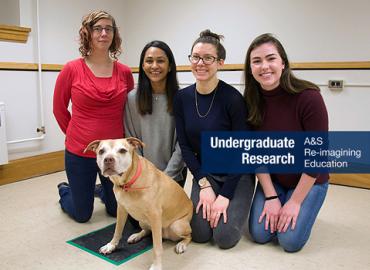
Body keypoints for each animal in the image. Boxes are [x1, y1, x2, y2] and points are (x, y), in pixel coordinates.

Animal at [85, 137, 192, 270]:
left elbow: (157, 248)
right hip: (143, 221)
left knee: (189, 236)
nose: (108, 159)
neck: (128, 183)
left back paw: (182, 244)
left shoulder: (155, 215)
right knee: (147, 231)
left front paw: (156, 265)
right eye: (101, 151)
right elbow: (117, 230)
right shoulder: (121, 209)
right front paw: (111, 245)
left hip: (177, 226)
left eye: (122, 150)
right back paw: (136, 236)